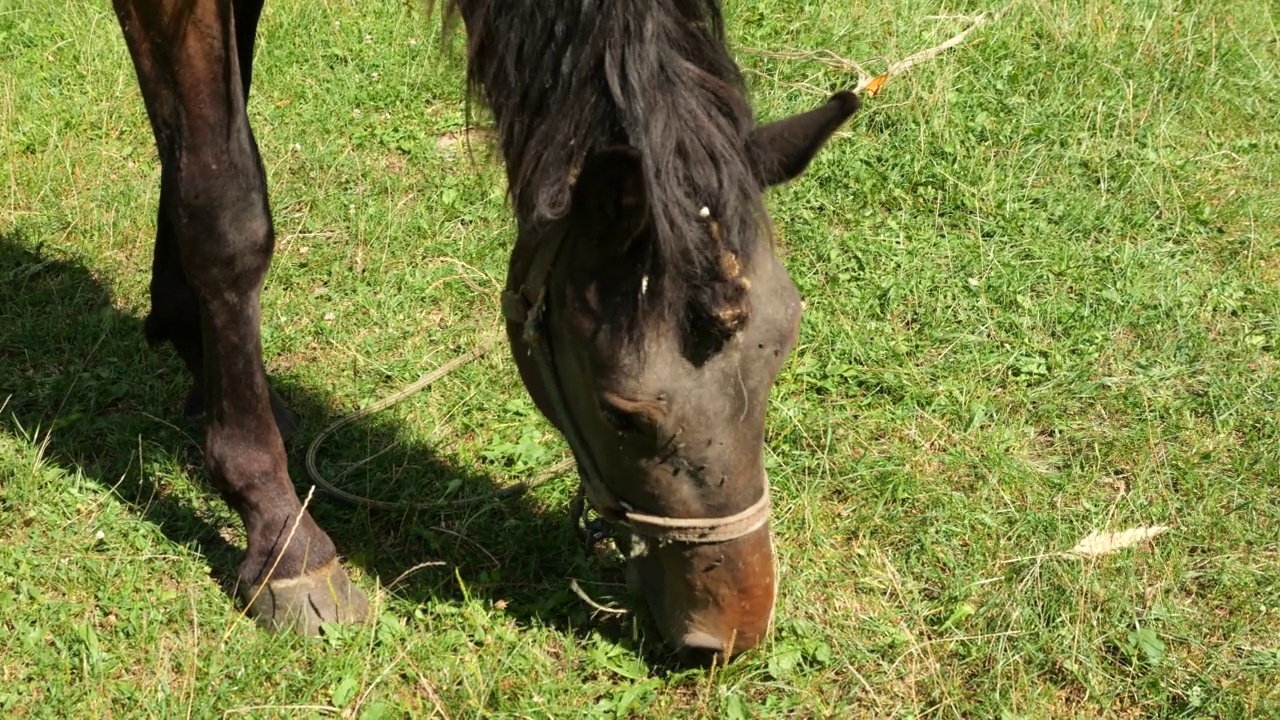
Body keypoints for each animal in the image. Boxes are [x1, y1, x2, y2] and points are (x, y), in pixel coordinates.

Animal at [112, 0, 860, 661]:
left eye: (782, 350)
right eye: (622, 415)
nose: (733, 629)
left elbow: (198, 147)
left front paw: (195, 350)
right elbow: (223, 206)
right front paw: (280, 532)